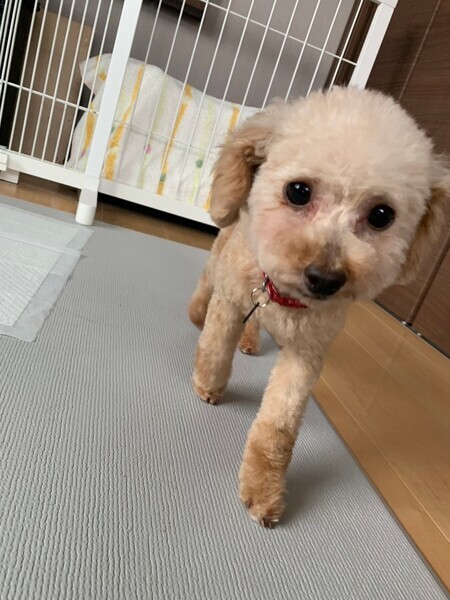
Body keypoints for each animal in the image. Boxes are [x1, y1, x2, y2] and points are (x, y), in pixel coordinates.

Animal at [188, 87, 448, 527]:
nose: (326, 278)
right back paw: (197, 313)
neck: (284, 296)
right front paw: (209, 385)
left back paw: (251, 339)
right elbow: (216, 348)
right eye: (298, 191)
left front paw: (264, 488)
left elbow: (278, 427)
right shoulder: (233, 299)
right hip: (221, 255)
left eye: (382, 215)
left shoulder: (307, 352)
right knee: (206, 285)